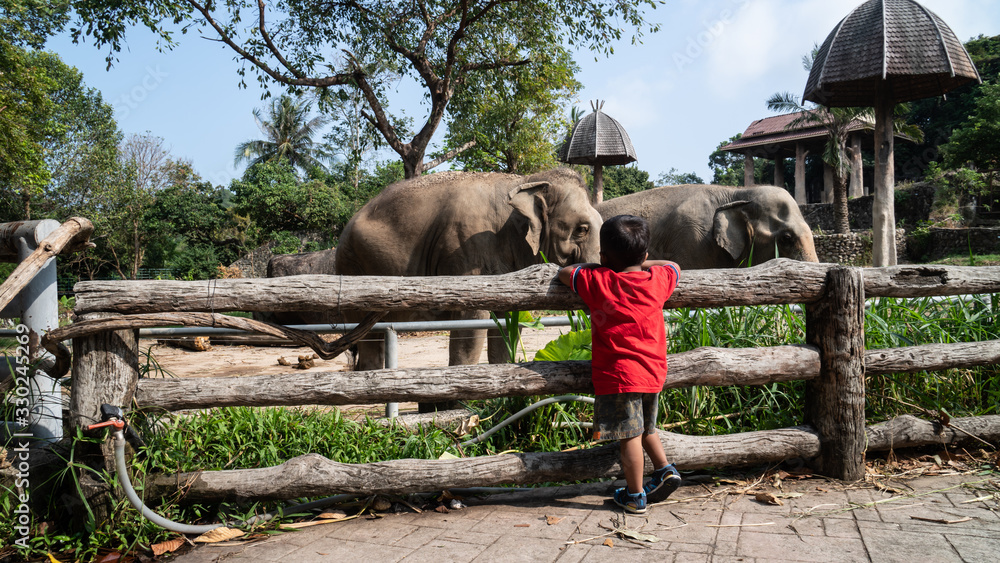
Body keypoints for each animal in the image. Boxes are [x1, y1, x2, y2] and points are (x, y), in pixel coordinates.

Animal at [335, 168, 603, 384]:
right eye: (582, 229)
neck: (526, 180)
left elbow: (506, 325)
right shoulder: (466, 250)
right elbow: (471, 324)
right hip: (354, 269)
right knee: (369, 341)